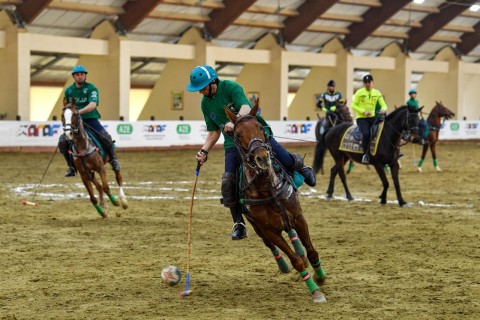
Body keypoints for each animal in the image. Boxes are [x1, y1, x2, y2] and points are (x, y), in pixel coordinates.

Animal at [225, 100, 326, 302]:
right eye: (237, 135)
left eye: (259, 127)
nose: (262, 157)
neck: (267, 188)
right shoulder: (269, 230)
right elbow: (295, 261)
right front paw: (315, 291)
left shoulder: (298, 217)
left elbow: (311, 251)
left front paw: (320, 277)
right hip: (256, 227)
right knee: (270, 245)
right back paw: (283, 265)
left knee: (293, 235)